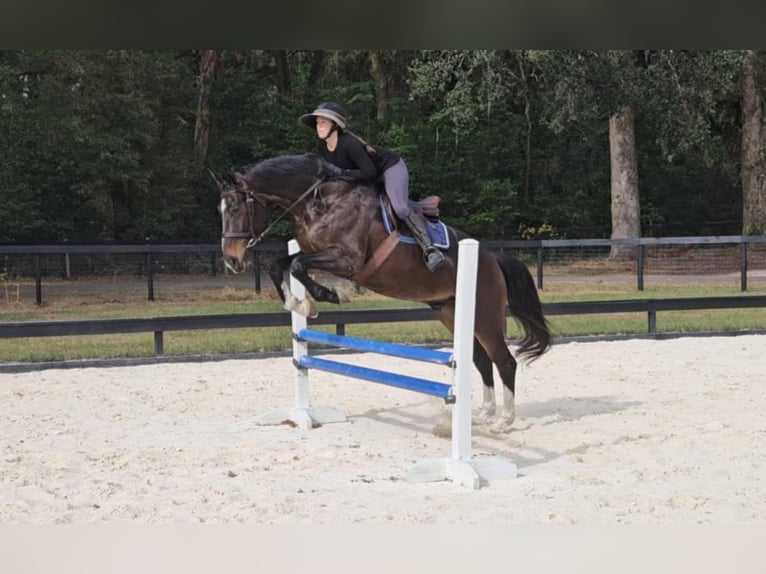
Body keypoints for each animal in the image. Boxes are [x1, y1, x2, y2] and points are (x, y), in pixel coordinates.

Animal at [218, 152, 552, 432]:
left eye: (234, 207)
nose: (231, 260)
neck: (318, 202)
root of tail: (493, 258)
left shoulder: (348, 261)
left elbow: (299, 265)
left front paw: (330, 297)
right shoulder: (315, 252)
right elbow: (280, 264)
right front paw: (300, 303)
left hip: (484, 315)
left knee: (504, 361)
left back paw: (504, 421)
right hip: (450, 311)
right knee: (482, 360)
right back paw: (484, 414)